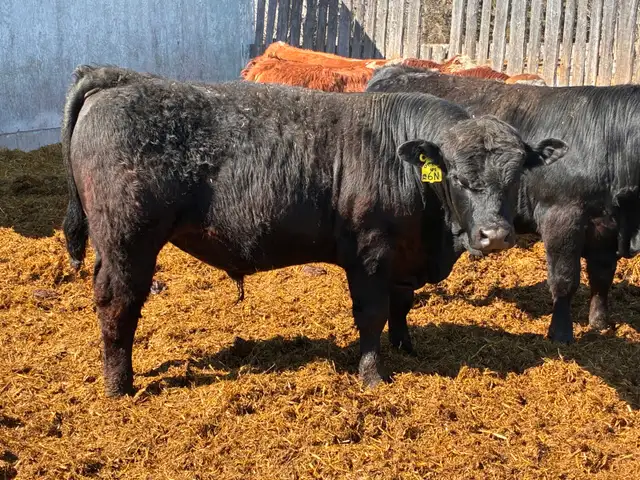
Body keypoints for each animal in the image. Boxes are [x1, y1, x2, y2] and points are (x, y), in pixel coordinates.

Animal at [61, 65, 565, 397]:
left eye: (517, 174)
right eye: (458, 177)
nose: (495, 236)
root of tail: (121, 77)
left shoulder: (404, 256)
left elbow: (401, 306)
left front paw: (407, 348)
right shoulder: (370, 254)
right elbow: (372, 315)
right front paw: (373, 375)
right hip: (128, 241)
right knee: (117, 304)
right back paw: (119, 386)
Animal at [366, 65, 638, 343]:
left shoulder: (606, 226)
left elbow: (602, 275)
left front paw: (599, 323)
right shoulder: (562, 215)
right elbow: (564, 278)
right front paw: (561, 333)